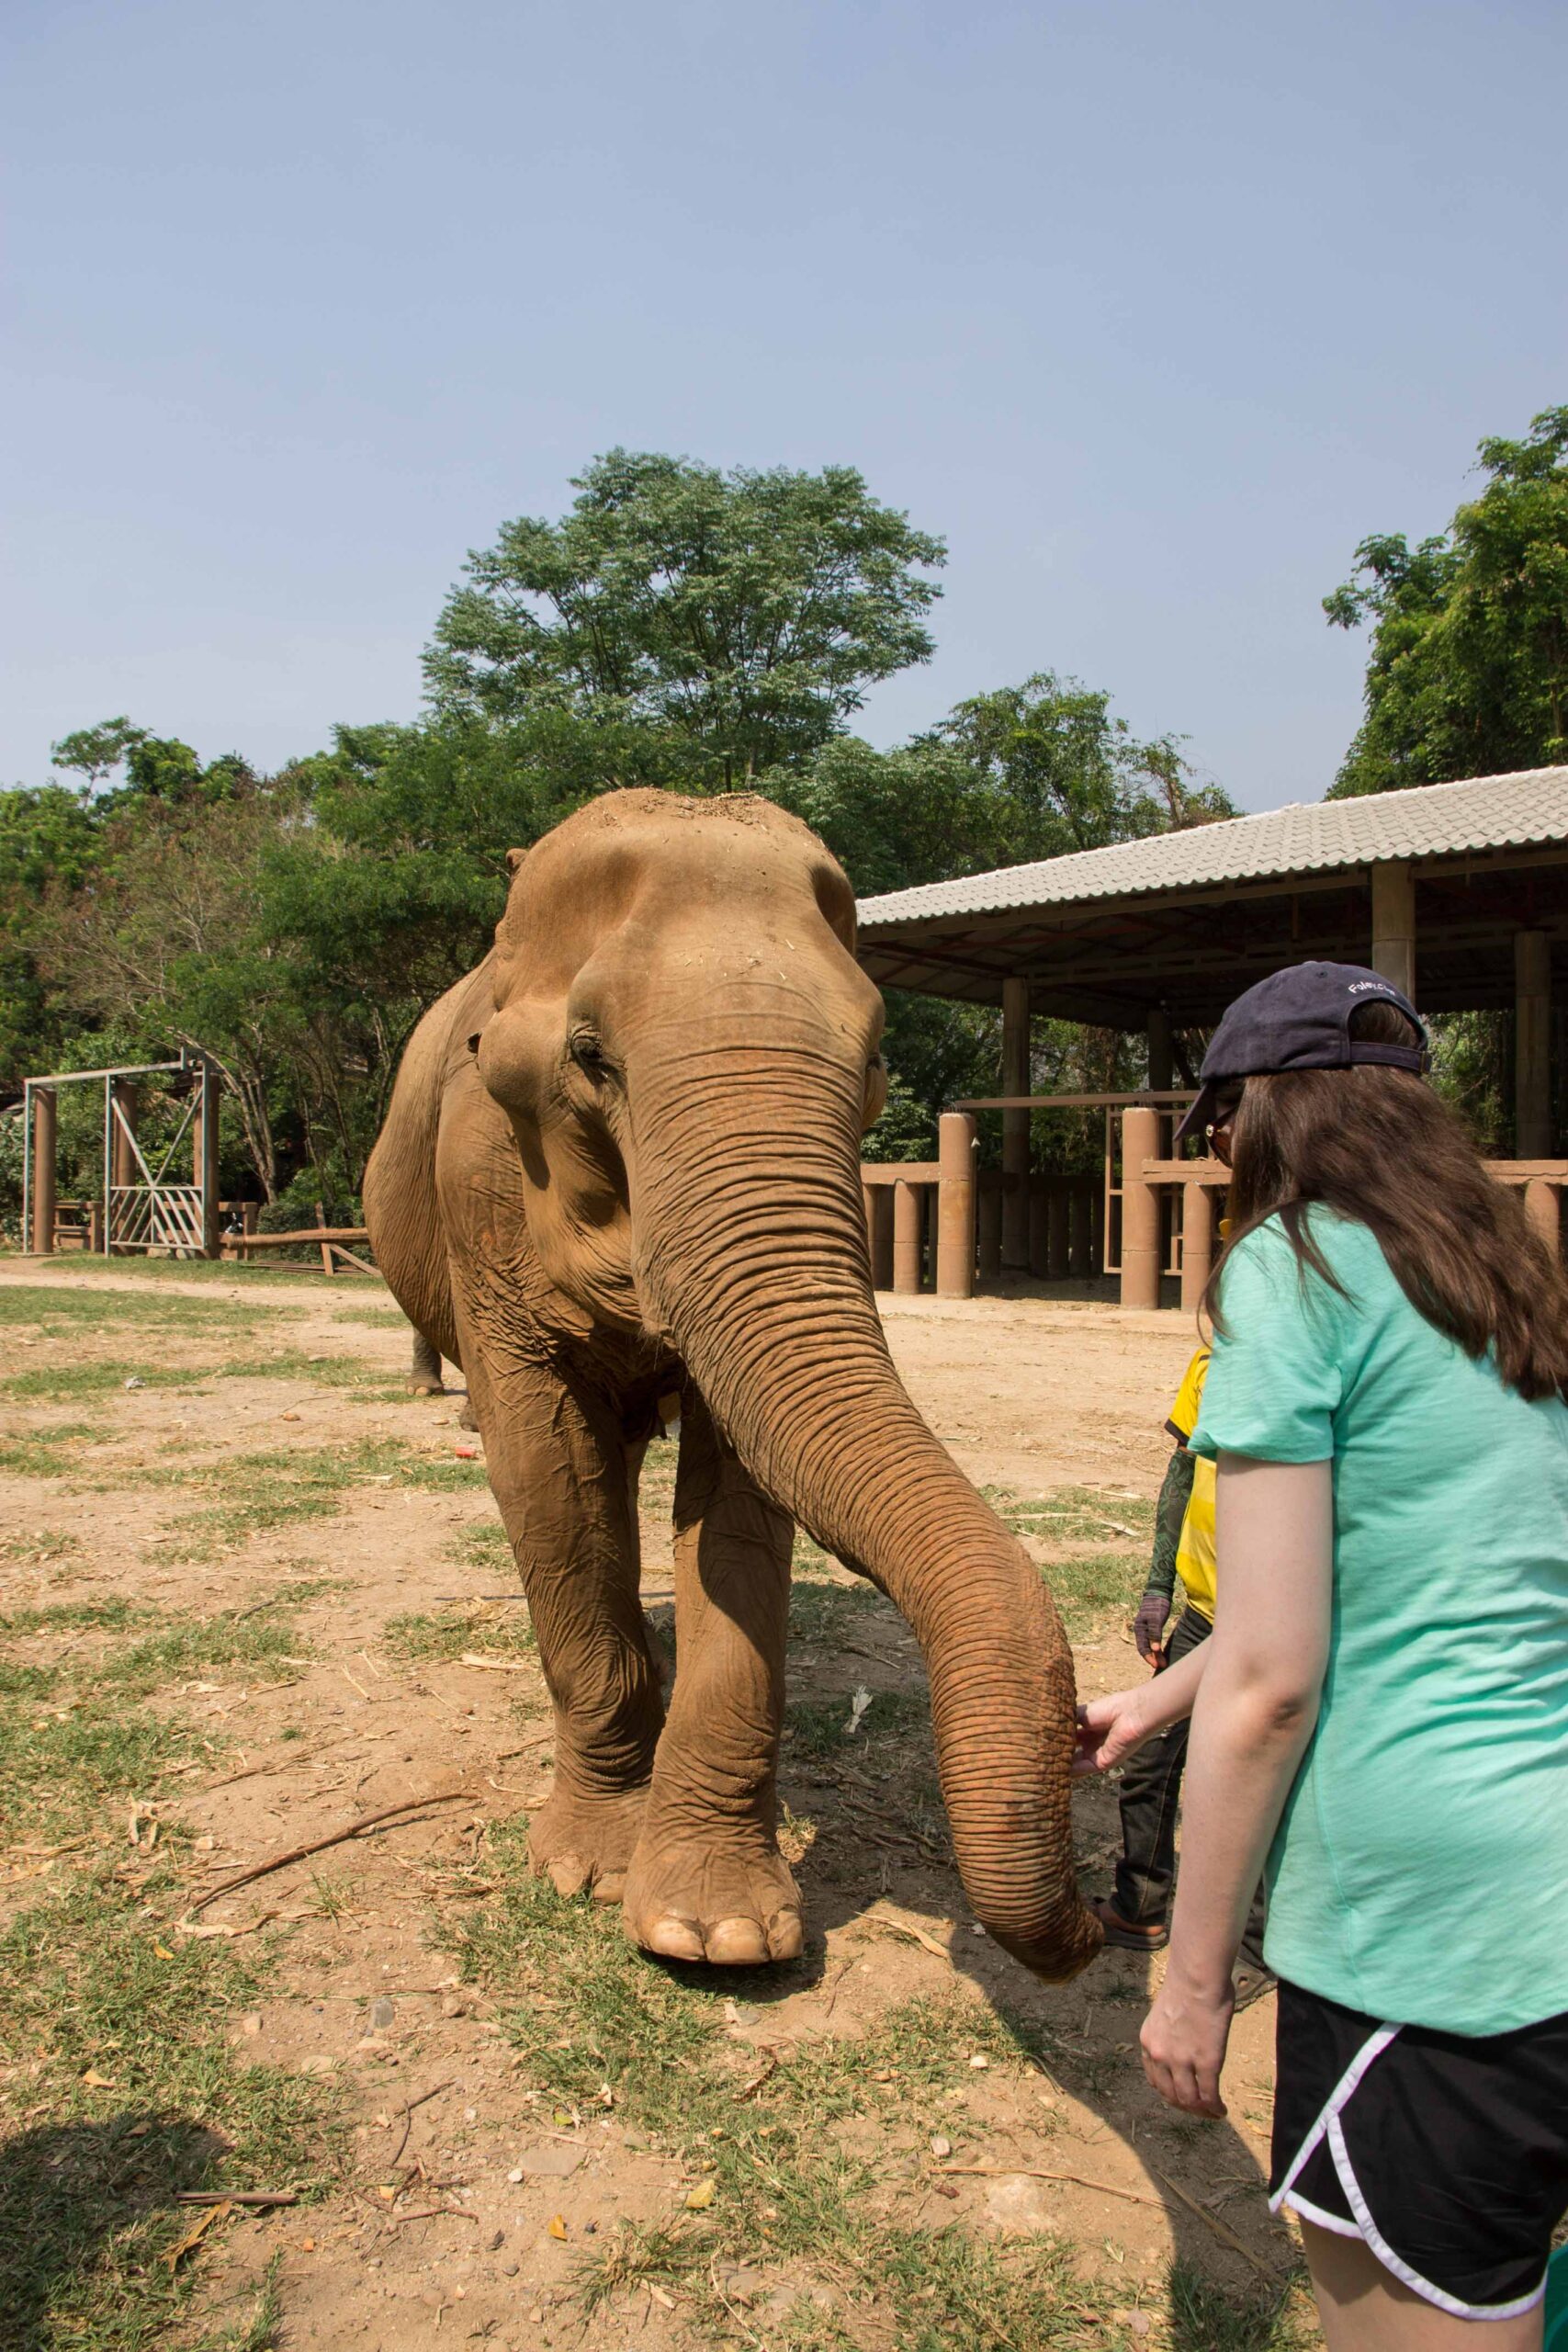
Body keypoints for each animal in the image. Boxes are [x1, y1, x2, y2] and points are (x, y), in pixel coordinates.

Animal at [363, 789, 1100, 1981]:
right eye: (590, 1055)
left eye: (875, 1060)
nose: (1107, 1919)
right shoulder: (480, 1183)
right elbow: (542, 1464)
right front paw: (588, 1871)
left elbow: (742, 1500)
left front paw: (718, 1934)